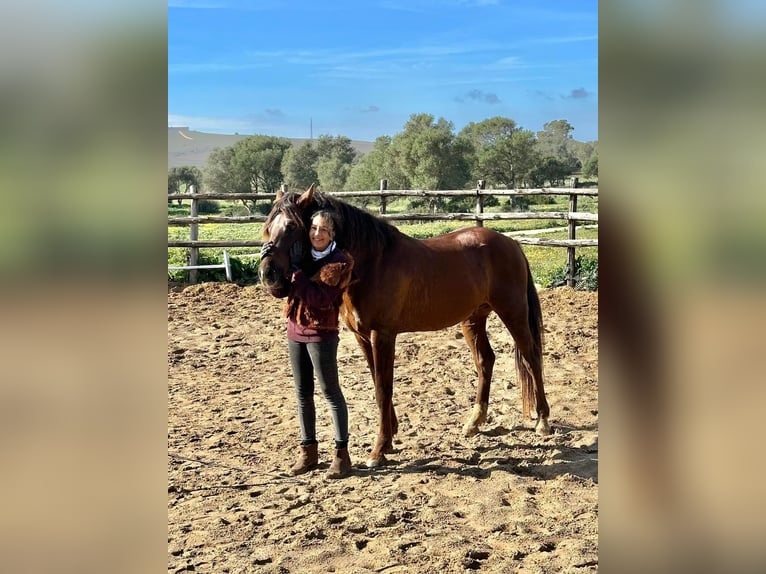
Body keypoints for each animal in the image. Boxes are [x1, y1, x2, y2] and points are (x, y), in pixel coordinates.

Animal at [260, 184, 552, 468]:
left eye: (292, 226)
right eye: (268, 226)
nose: (268, 274)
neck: (371, 262)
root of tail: (510, 243)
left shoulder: (382, 335)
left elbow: (383, 389)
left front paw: (378, 450)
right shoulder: (363, 337)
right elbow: (378, 382)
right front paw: (389, 437)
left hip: (513, 313)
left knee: (532, 358)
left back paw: (542, 421)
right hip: (473, 319)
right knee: (485, 360)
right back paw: (474, 422)